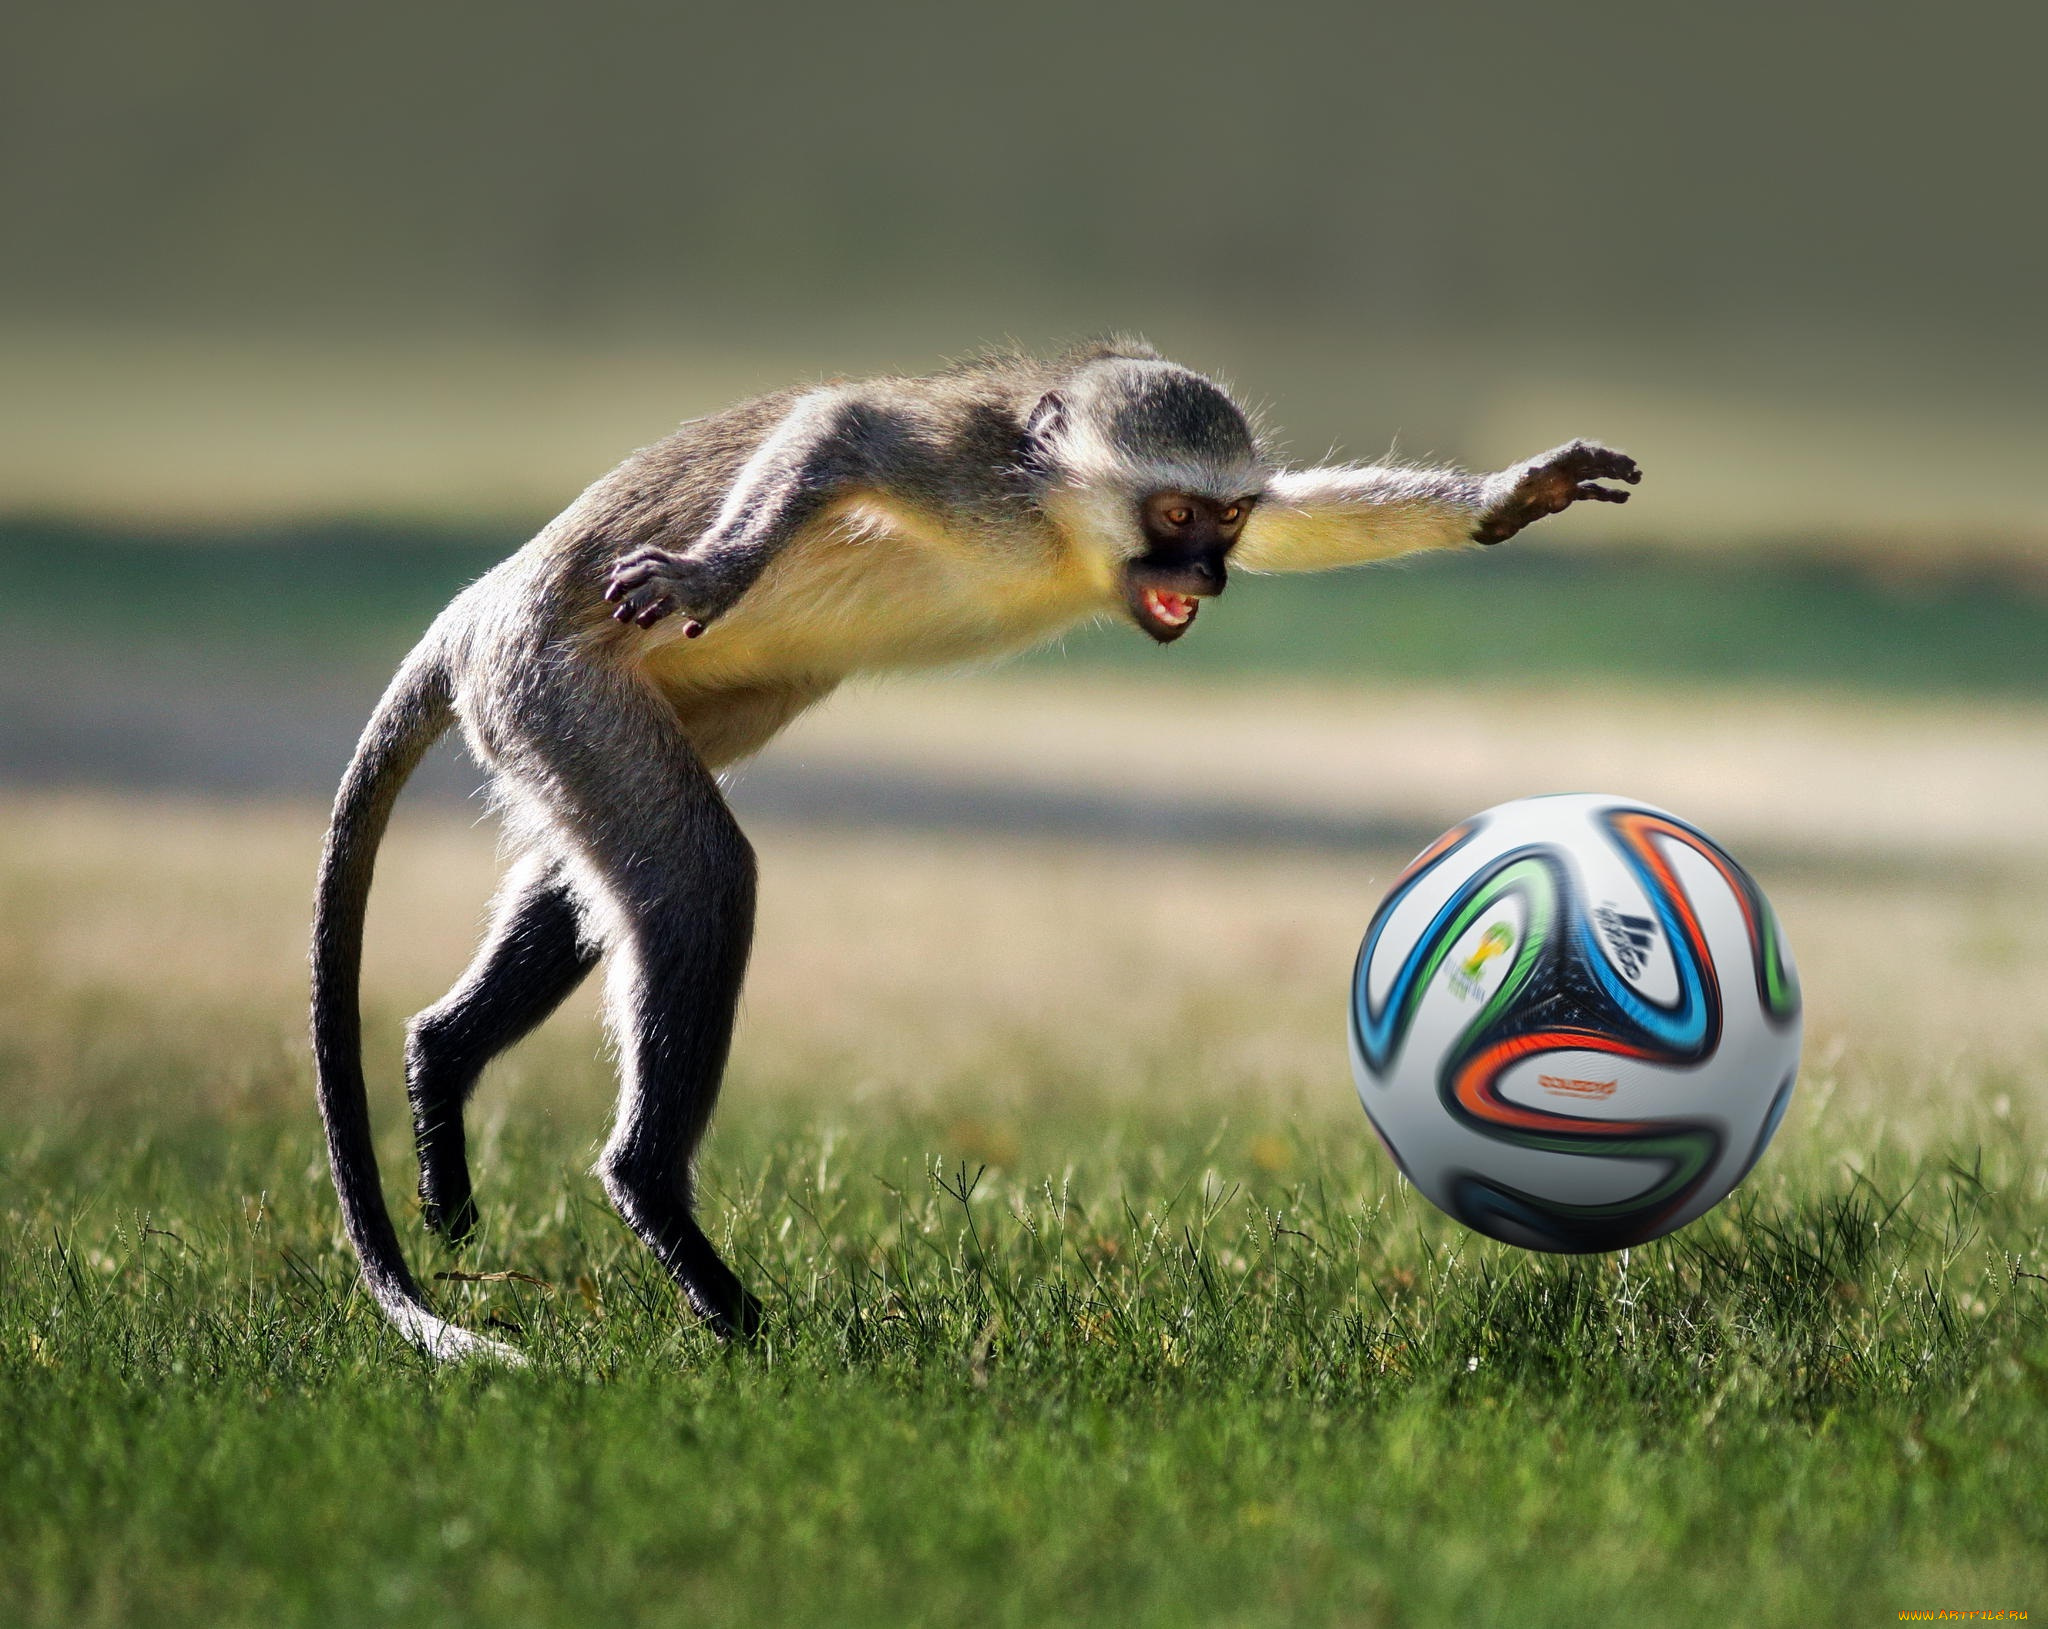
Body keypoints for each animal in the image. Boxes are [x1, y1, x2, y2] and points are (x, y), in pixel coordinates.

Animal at [310, 339, 1641, 1363]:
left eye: (1223, 518)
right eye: (1174, 516)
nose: (1207, 573)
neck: (1061, 533)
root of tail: (474, 612)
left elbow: (1302, 523)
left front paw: (1506, 498)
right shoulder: (966, 474)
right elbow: (840, 421)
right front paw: (715, 563)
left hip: (592, 707)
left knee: (601, 874)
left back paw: (441, 1062)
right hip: (552, 682)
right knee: (693, 873)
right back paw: (658, 1204)